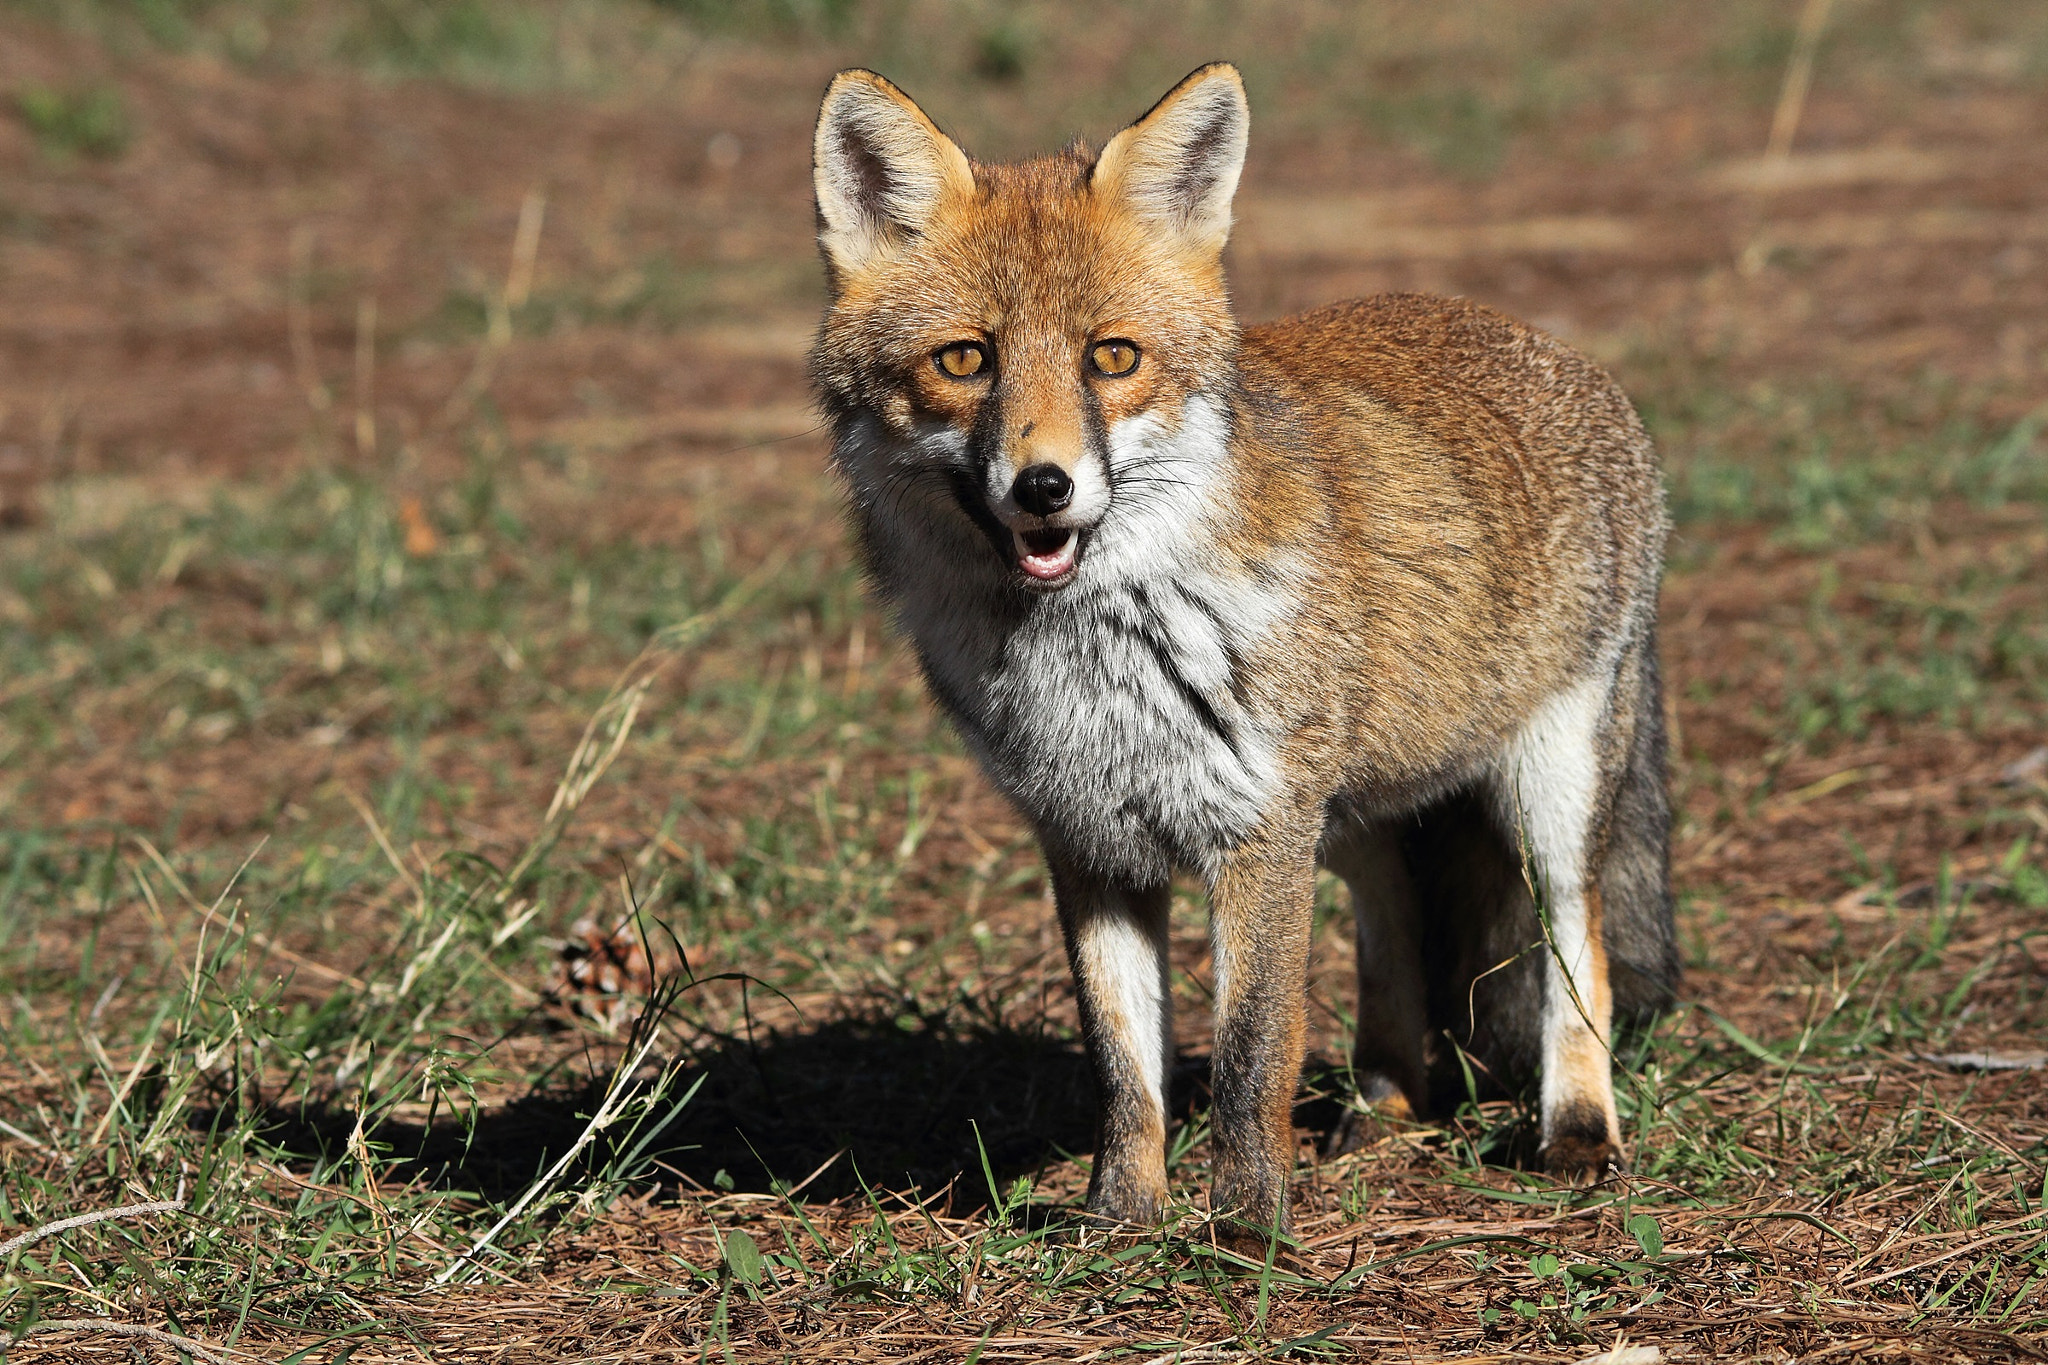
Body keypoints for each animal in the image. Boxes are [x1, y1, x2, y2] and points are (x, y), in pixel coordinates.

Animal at [808, 62, 1679, 1239]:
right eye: (964, 360)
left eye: (1111, 357)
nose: (1044, 487)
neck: (1098, 663)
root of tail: (1541, 341)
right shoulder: (1087, 841)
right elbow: (1123, 1069)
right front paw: (1120, 1223)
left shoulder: (1257, 832)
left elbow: (1250, 1053)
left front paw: (1246, 1228)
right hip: (1355, 814)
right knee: (1394, 931)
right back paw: (1381, 1105)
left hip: (1549, 790)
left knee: (1575, 953)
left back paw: (1576, 1130)